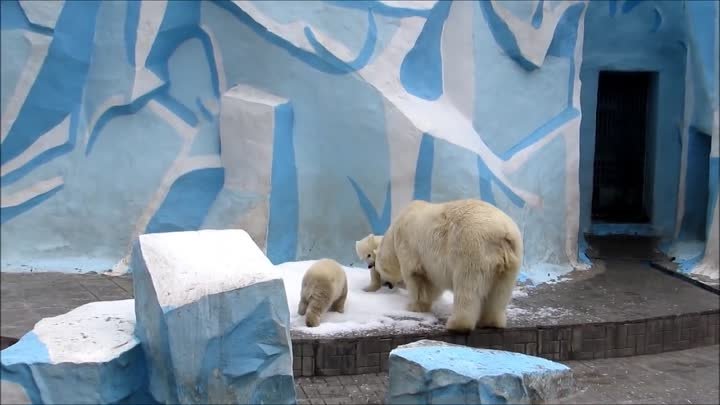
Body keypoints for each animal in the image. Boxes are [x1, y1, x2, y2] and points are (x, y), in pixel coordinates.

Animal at [374, 198, 520, 332]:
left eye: (379, 270)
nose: (386, 284)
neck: (394, 231)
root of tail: (502, 233)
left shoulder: (409, 248)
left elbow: (416, 278)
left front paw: (414, 306)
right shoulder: (431, 265)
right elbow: (433, 284)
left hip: (470, 249)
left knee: (466, 287)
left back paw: (457, 323)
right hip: (509, 261)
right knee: (500, 292)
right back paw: (491, 321)